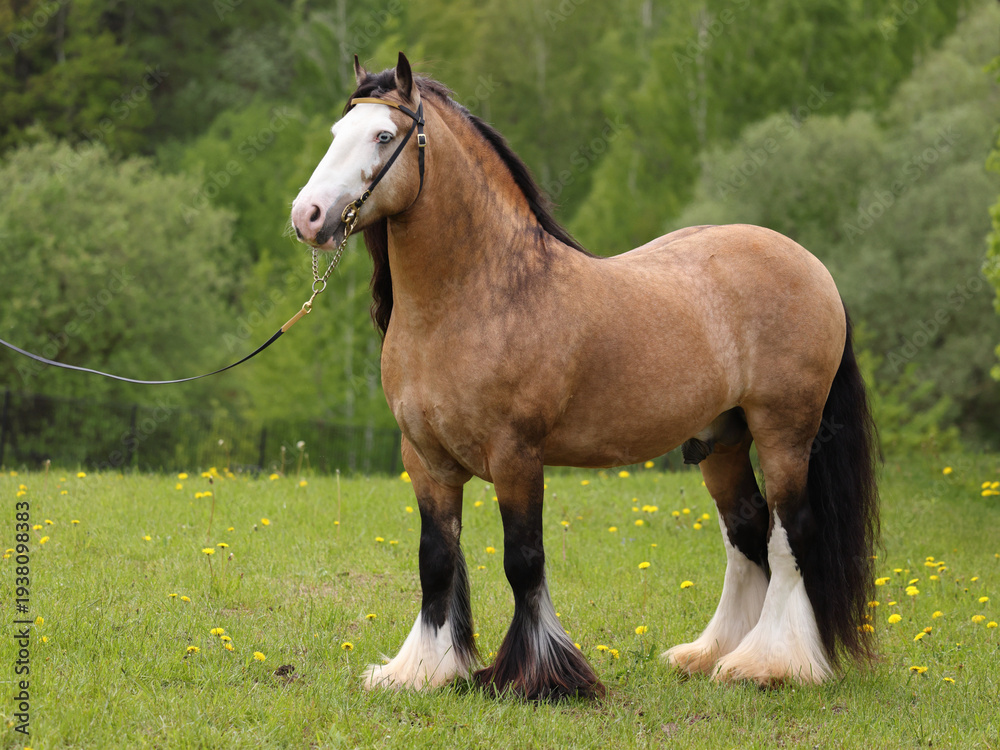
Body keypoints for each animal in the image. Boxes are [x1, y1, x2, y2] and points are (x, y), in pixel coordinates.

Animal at [290, 52, 879, 700]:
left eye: (383, 135)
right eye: (336, 133)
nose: (307, 216)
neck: (476, 297)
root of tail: (812, 265)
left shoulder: (517, 456)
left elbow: (523, 561)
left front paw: (540, 677)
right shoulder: (425, 459)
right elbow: (436, 559)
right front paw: (422, 670)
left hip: (785, 434)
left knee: (791, 533)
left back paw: (772, 663)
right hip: (723, 439)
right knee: (746, 534)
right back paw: (713, 655)